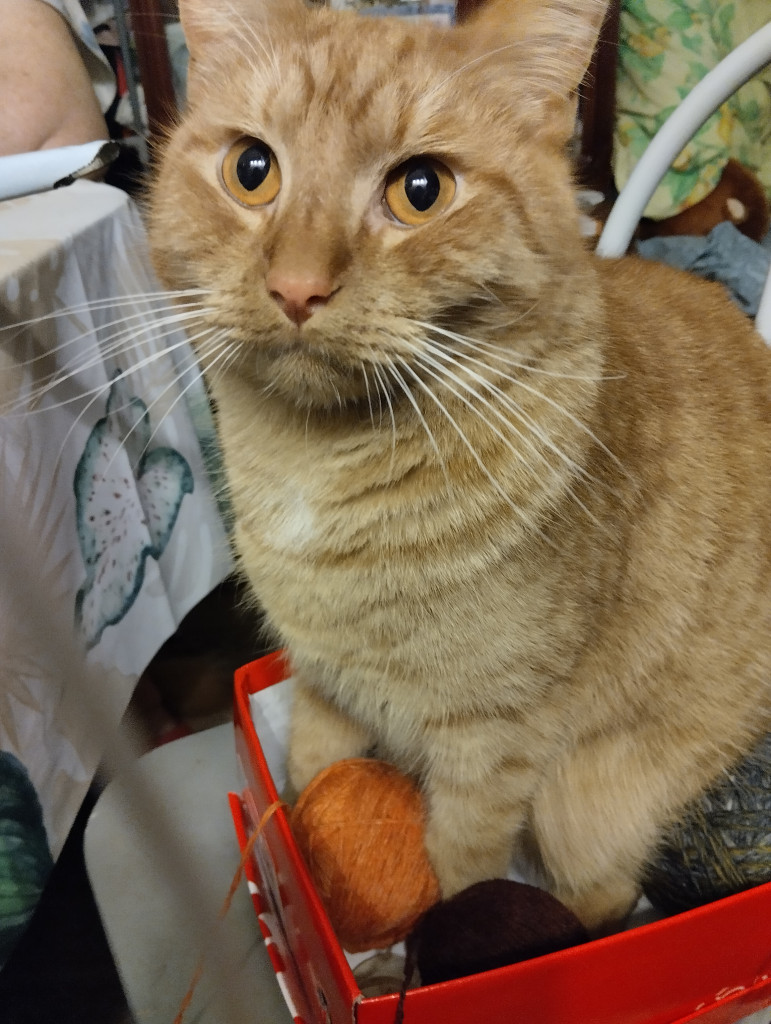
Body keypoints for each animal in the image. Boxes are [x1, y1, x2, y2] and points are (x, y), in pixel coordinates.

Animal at [147, 0, 771, 931]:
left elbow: (463, 867)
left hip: (583, 810)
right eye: (251, 170)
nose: (296, 288)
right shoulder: (322, 680)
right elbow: (307, 775)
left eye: (420, 190)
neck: (316, 461)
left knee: (601, 896)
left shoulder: (490, 743)